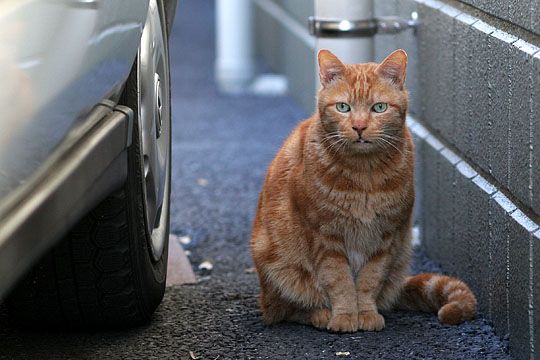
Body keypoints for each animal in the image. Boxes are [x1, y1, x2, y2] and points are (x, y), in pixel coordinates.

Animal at [250, 48, 476, 332]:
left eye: (379, 107)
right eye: (343, 107)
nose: (359, 126)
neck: (364, 177)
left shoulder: (386, 237)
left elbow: (369, 280)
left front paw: (366, 313)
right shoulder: (325, 237)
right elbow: (340, 281)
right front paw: (345, 316)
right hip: (277, 265)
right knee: (285, 309)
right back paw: (320, 314)